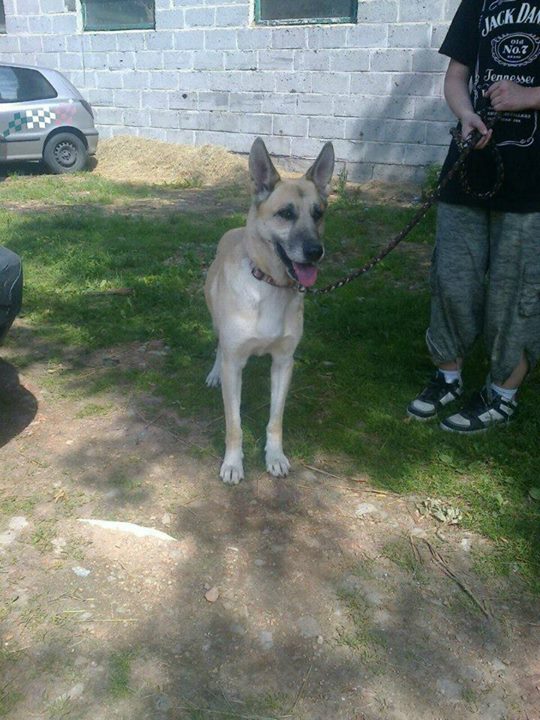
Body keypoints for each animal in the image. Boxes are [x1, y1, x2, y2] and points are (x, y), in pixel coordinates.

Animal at [205, 137, 335, 484]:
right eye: (285, 213)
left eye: (318, 213)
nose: (316, 252)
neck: (270, 285)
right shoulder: (235, 363)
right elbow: (234, 425)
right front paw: (232, 464)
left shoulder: (284, 362)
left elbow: (275, 420)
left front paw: (275, 457)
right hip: (217, 323)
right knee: (219, 347)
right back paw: (214, 373)